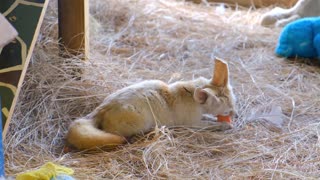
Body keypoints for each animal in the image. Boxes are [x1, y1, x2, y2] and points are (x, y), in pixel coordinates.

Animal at [67, 58, 235, 149]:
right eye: (228, 108)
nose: (236, 114)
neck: (191, 94)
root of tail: (101, 109)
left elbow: (208, 119)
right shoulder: (191, 123)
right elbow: (210, 125)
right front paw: (224, 125)